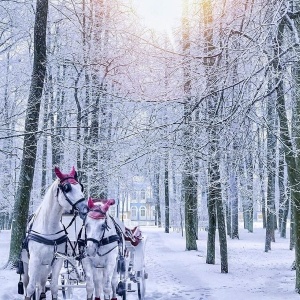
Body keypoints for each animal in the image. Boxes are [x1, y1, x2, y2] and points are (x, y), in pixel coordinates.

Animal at [21, 166, 88, 300]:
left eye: (80, 187)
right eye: (67, 188)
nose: (85, 209)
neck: (49, 229)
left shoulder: (58, 260)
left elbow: (53, 287)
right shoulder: (34, 260)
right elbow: (31, 288)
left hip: (45, 266)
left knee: (42, 284)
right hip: (27, 265)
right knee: (27, 284)